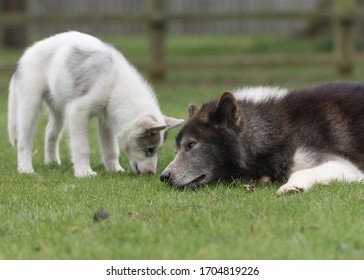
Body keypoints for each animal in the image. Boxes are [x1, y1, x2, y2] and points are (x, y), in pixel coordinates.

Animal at [8, 31, 183, 177]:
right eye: (150, 150)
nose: (151, 173)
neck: (114, 84)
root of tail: (26, 54)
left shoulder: (106, 119)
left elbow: (111, 149)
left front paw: (115, 169)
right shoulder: (77, 112)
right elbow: (82, 146)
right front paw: (84, 173)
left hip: (58, 108)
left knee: (50, 132)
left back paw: (52, 162)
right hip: (30, 104)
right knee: (24, 140)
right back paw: (25, 169)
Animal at [161, 83, 364, 195]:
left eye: (191, 145)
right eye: (176, 149)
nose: (164, 177)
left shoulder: (344, 166)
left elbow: (298, 172)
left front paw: (292, 187)